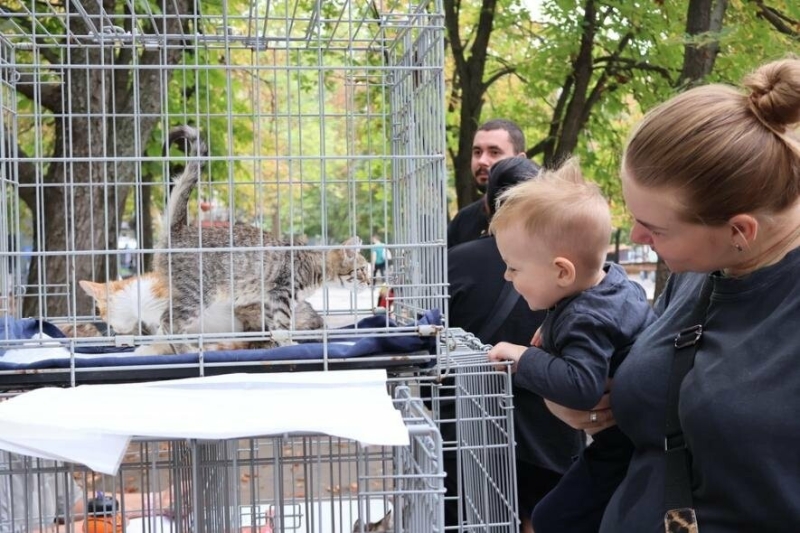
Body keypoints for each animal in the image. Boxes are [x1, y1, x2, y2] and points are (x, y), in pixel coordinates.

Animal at [137, 125, 372, 356]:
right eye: (361, 270)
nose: (371, 282)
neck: (314, 263)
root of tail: (178, 230)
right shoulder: (283, 293)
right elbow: (284, 324)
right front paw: (289, 344)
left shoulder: (267, 302)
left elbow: (272, 328)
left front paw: (275, 344)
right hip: (196, 293)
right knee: (169, 322)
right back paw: (187, 350)